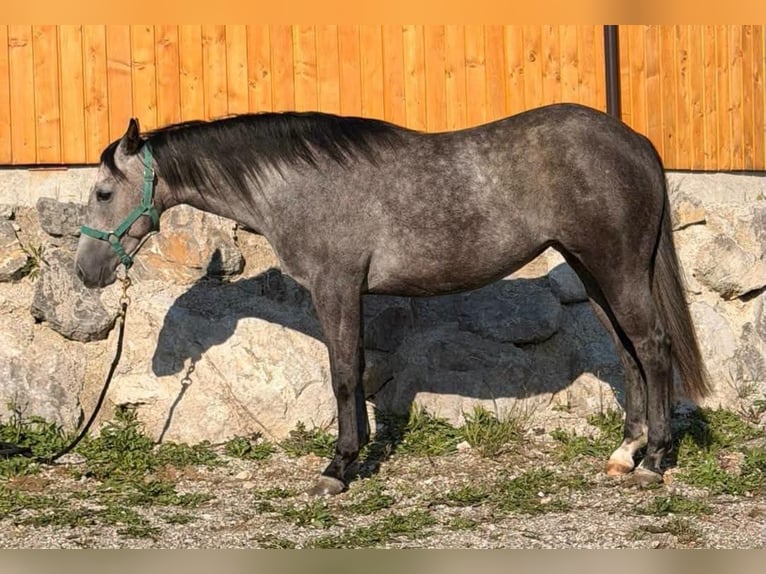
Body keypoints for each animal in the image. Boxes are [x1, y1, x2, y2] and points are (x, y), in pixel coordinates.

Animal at [75, 103, 710, 496]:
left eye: (103, 192)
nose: (86, 271)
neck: (300, 184)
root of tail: (636, 142)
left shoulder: (336, 286)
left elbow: (343, 375)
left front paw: (337, 468)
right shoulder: (349, 293)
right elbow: (355, 372)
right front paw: (353, 458)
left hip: (617, 267)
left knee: (653, 347)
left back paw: (655, 460)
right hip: (593, 270)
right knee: (627, 351)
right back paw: (625, 452)